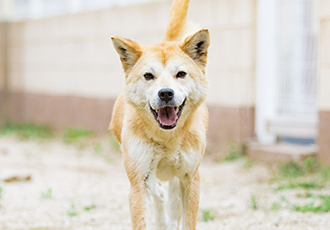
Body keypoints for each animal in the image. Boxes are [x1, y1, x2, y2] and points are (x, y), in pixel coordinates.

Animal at [109, 0, 210, 229]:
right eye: (148, 76)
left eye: (181, 74)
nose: (165, 93)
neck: (167, 138)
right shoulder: (140, 181)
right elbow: (142, 219)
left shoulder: (191, 178)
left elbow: (187, 221)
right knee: (161, 195)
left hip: (176, 178)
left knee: (172, 206)